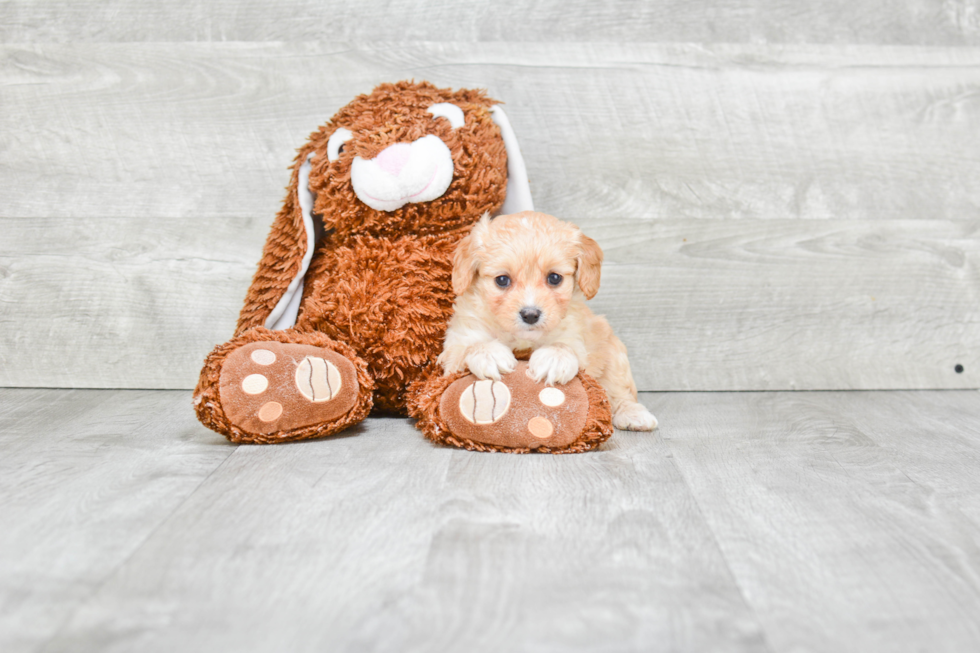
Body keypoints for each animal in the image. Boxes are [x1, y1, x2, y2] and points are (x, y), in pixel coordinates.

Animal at [438, 211, 660, 430]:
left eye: (554, 278)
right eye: (502, 280)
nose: (530, 315)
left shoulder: (574, 336)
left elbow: (564, 346)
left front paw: (554, 358)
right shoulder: (458, 343)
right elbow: (471, 346)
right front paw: (489, 354)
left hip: (612, 350)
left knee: (619, 390)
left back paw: (634, 414)